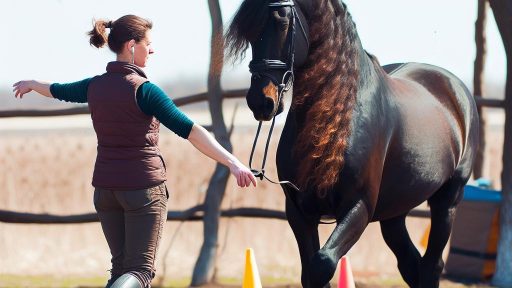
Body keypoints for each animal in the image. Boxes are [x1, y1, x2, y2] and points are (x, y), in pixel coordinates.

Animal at [226, 1, 478, 286]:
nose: (261, 102)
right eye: (248, 32)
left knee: (431, 265)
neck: (336, 119)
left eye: (282, 20)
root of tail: (455, 88)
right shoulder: (299, 212)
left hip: (447, 200)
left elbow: (322, 264)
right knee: (410, 264)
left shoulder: (359, 207)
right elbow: (310, 273)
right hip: (395, 211)